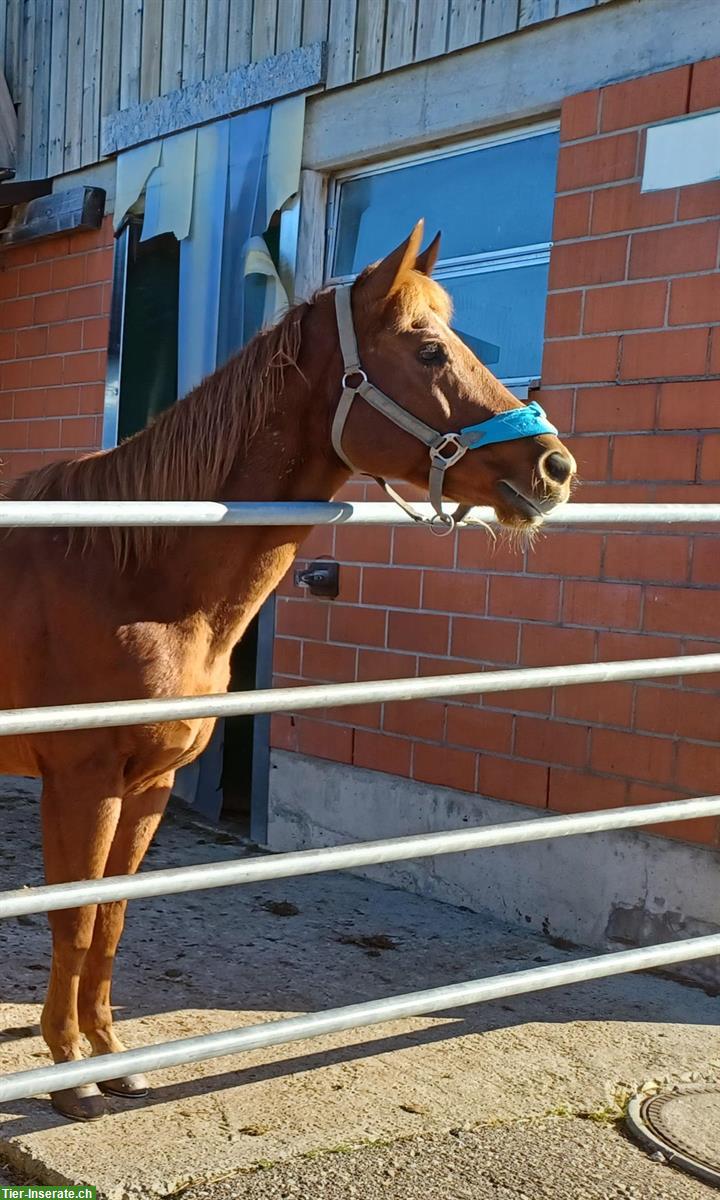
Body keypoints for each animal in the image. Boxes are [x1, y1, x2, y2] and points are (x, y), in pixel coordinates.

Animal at [0, 221, 576, 1121]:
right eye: (429, 350)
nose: (554, 468)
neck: (128, 572)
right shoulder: (82, 782)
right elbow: (76, 919)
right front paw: (70, 1078)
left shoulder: (149, 784)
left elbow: (115, 920)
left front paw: (111, 1057)